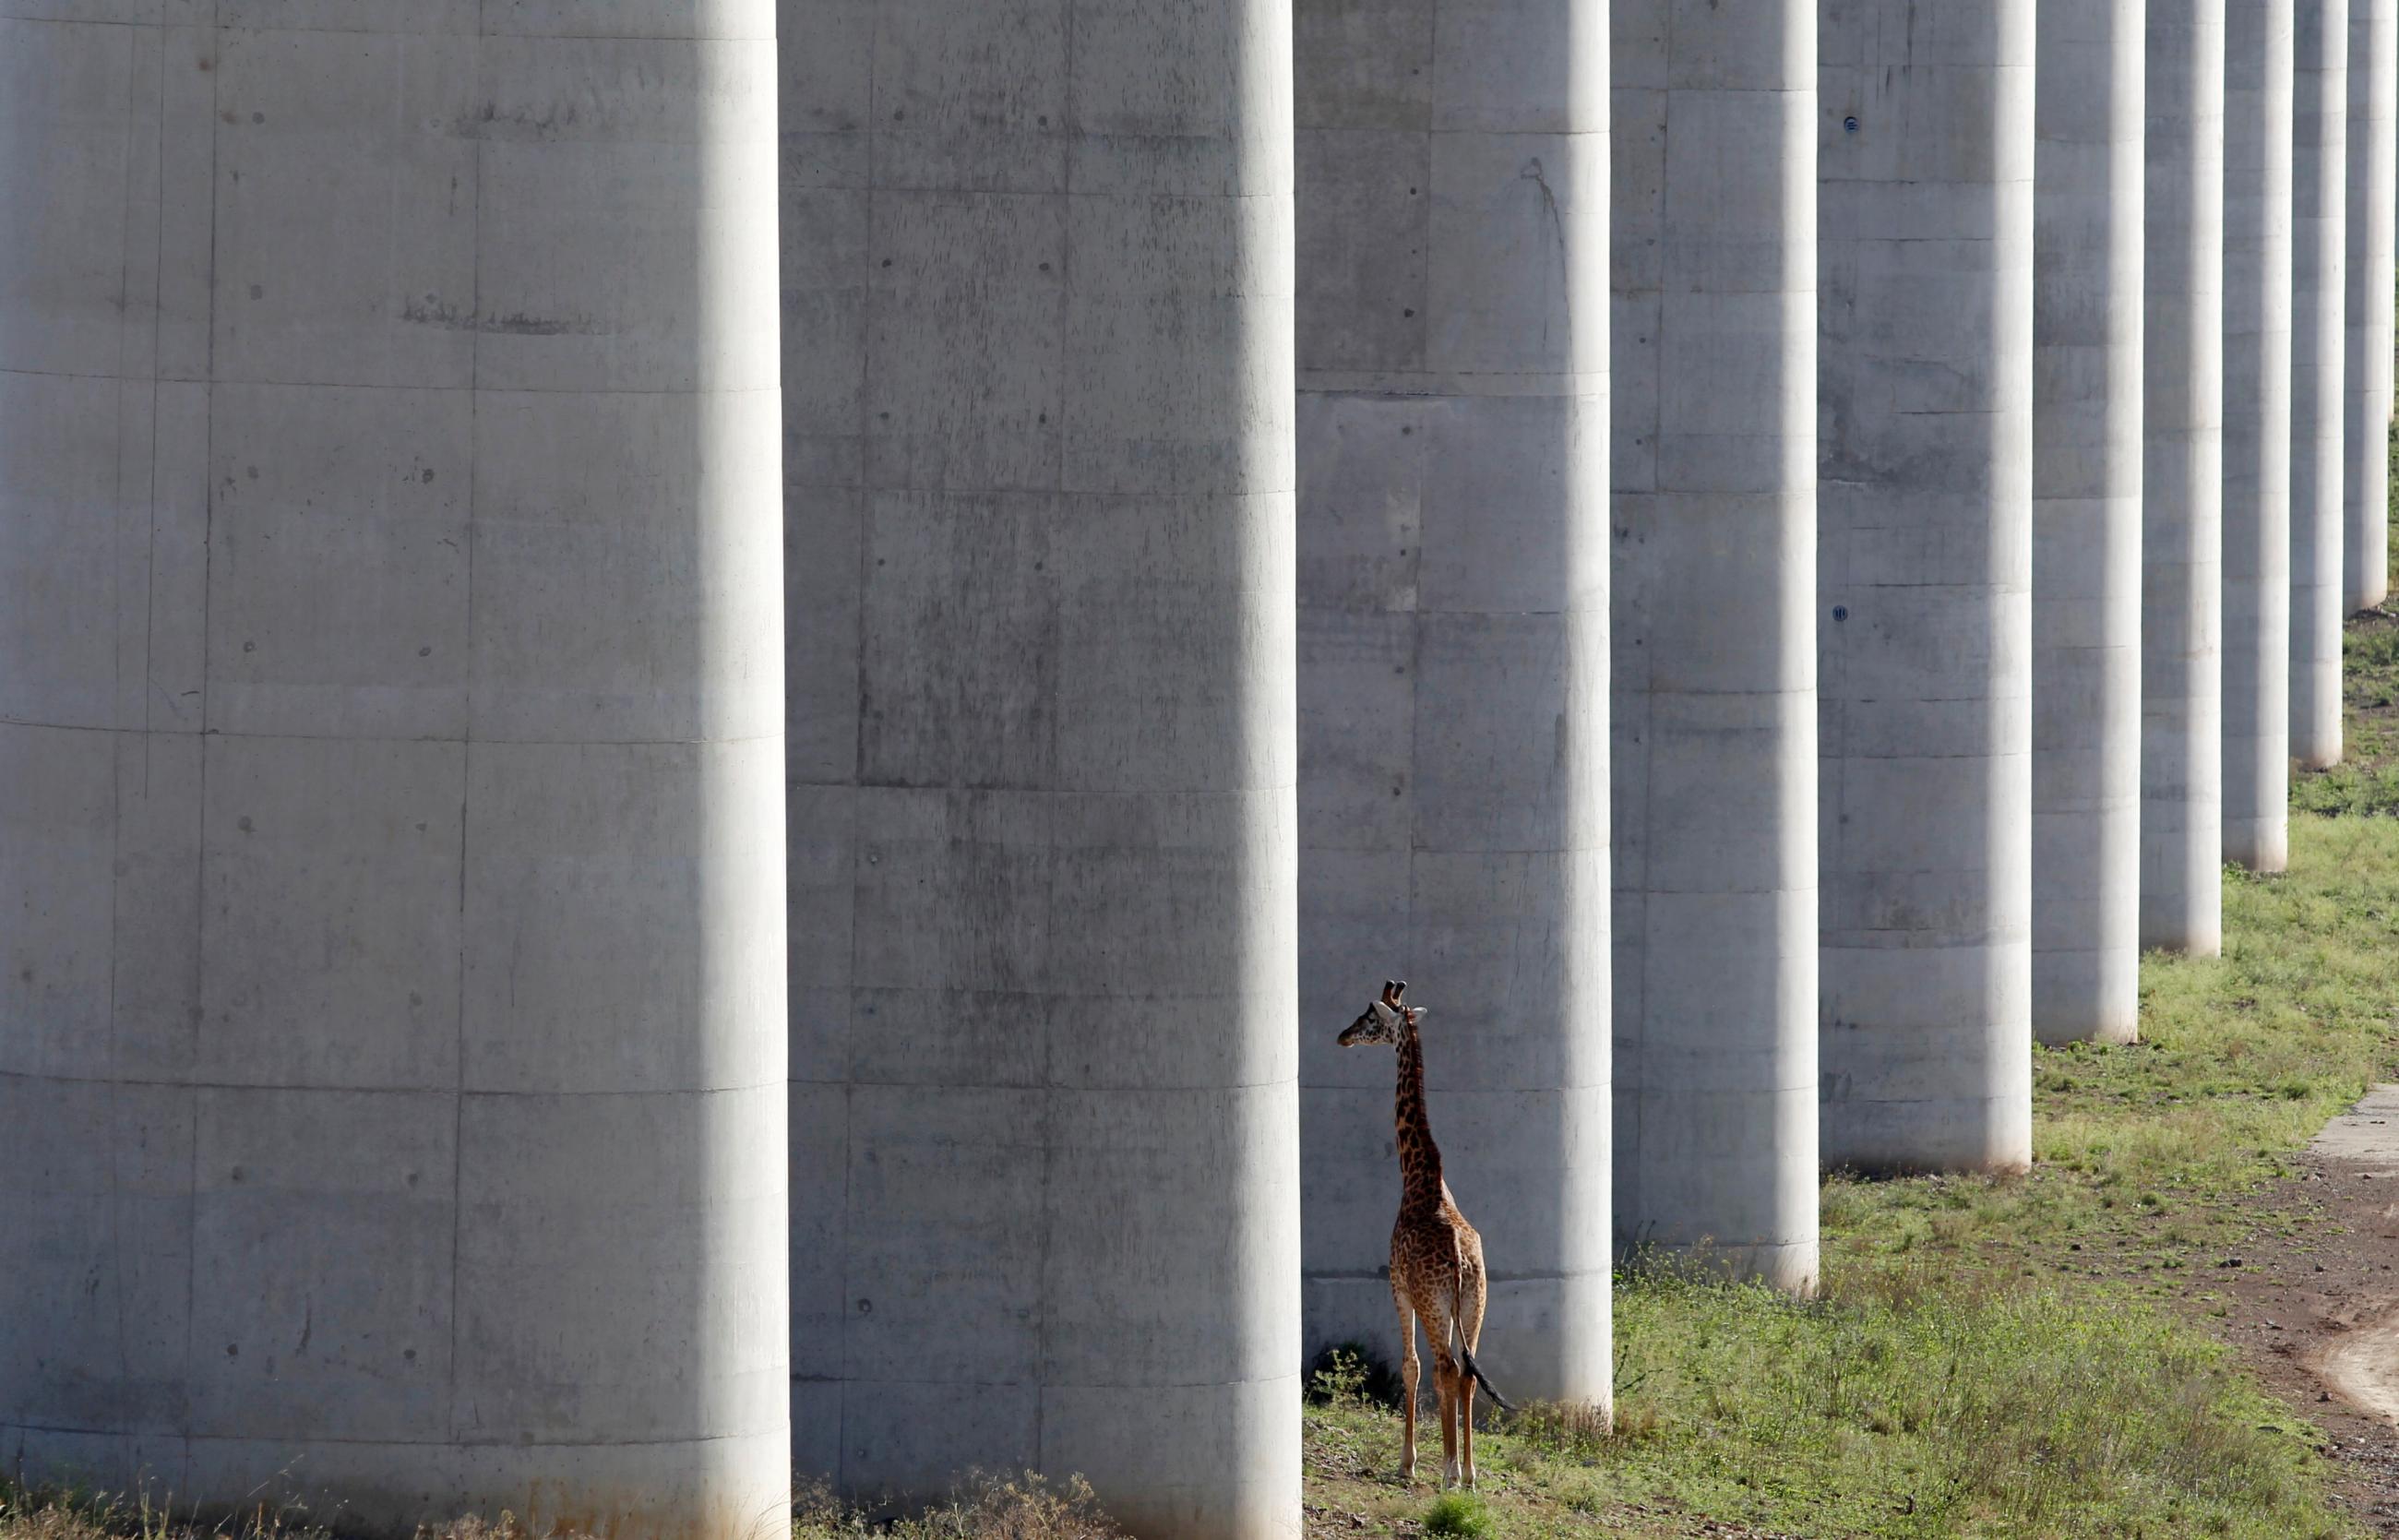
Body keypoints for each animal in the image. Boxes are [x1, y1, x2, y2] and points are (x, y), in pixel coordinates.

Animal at [1343, 969, 1506, 1486]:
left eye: (1369, 1018)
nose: (1342, 1036)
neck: (1421, 1175)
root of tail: (1458, 1261)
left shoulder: (1397, 1284)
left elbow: (1410, 1366)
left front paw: (1408, 1462)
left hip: (1436, 1305)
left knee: (1445, 1367)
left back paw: (1449, 1472)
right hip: (1475, 1304)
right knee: (1468, 1372)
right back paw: (1469, 1473)